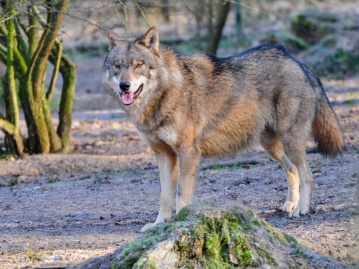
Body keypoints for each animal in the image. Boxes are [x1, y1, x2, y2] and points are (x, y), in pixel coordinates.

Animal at [102, 27, 344, 232]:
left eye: (138, 65)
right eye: (118, 66)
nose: (124, 86)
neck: (165, 92)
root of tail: (297, 61)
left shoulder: (188, 152)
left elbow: (181, 195)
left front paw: (182, 221)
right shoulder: (164, 154)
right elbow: (165, 196)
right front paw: (159, 224)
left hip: (289, 140)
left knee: (307, 173)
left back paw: (301, 209)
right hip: (271, 145)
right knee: (292, 170)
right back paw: (290, 205)